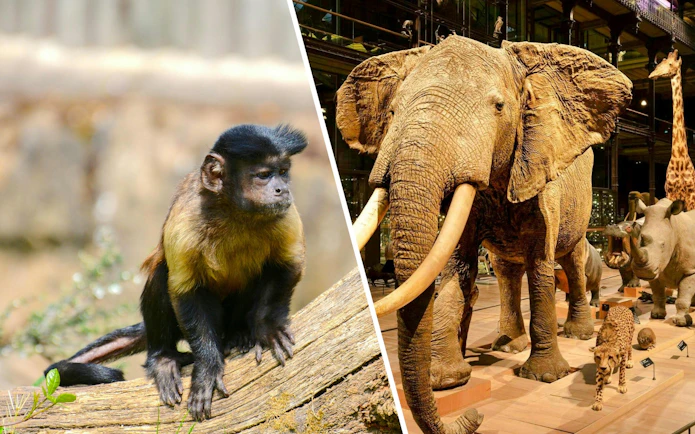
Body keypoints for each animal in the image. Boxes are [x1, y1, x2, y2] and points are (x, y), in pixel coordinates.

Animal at [45, 124, 307, 421]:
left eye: (283, 171)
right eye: (263, 175)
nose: (282, 189)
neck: (234, 212)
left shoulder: (285, 215)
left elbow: (288, 265)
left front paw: (267, 328)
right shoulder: (185, 222)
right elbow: (184, 291)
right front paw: (207, 368)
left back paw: (239, 334)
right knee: (162, 274)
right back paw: (164, 358)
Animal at [338, 35, 632, 434]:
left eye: (499, 107)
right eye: (394, 111)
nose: (475, 416)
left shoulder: (542, 177)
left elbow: (541, 266)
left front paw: (545, 376)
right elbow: (458, 269)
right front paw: (446, 379)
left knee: (570, 260)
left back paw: (577, 334)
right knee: (507, 271)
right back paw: (508, 344)